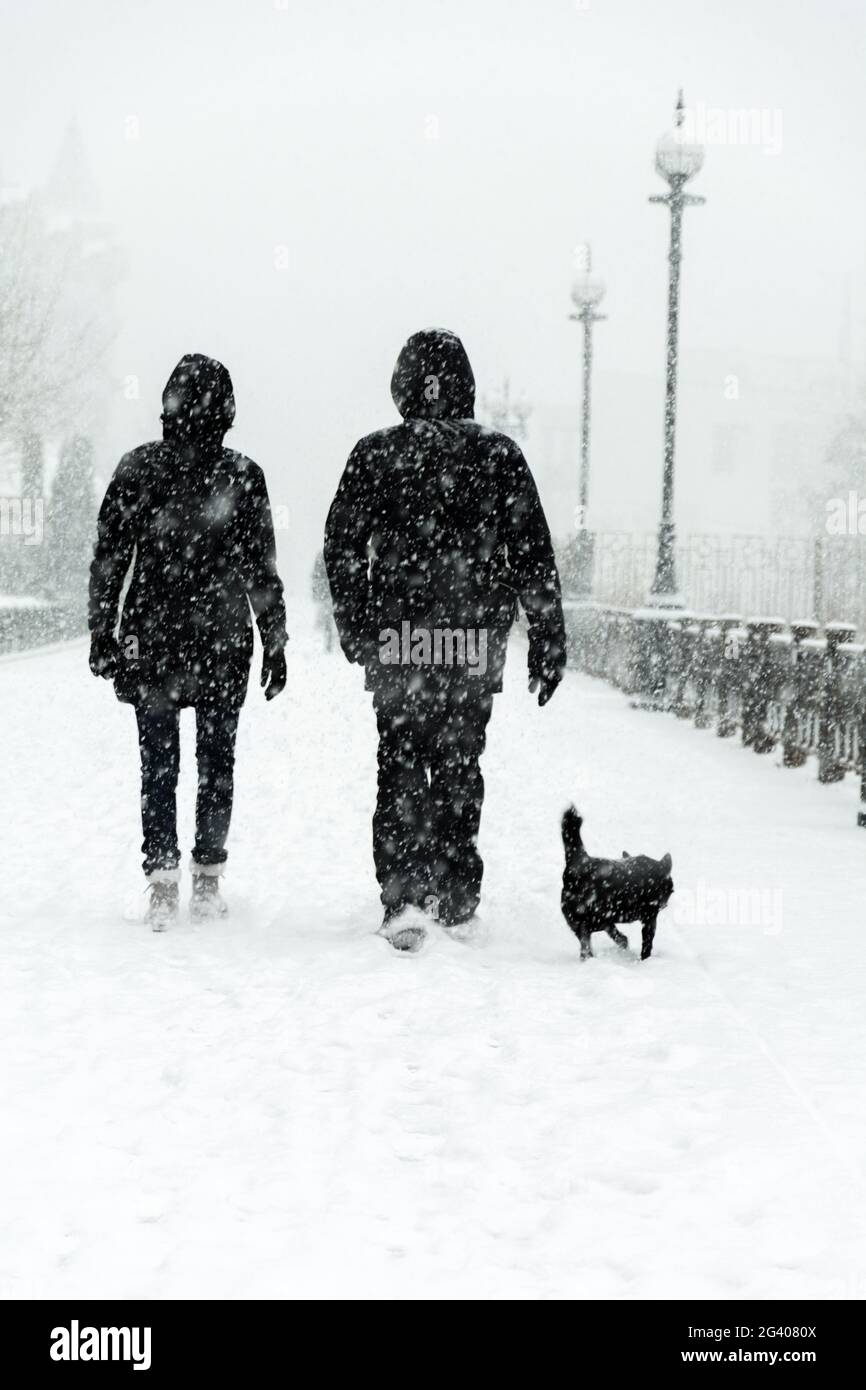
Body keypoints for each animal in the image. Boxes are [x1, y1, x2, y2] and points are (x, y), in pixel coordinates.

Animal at [561, 811, 678, 961]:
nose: (665, 904)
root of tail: (578, 861)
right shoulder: (650, 917)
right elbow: (647, 943)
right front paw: (644, 960)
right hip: (592, 919)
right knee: (587, 944)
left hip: (591, 920)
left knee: (605, 937)